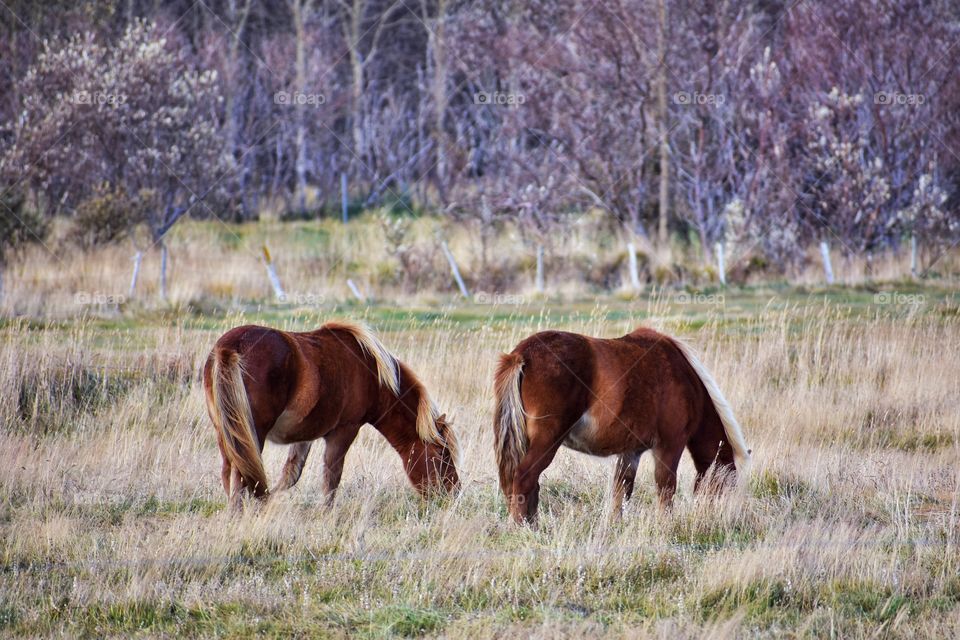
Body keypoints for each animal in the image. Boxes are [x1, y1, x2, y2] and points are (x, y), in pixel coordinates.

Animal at [202, 320, 458, 510]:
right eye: (442, 454)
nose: (454, 493)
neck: (371, 374)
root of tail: (230, 347)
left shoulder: (305, 434)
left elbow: (292, 474)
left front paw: (268, 504)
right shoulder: (344, 430)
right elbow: (331, 477)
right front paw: (326, 514)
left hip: (226, 432)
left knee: (229, 473)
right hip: (252, 433)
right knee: (239, 475)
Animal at [496, 328, 752, 524]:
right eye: (727, 486)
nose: (722, 518)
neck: (686, 379)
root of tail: (521, 355)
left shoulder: (631, 453)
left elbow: (621, 490)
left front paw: (615, 525)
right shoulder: (670, 446)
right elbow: (666, 487)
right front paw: (666, 526)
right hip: (547, 442)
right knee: (524, 479)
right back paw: (524, 527)